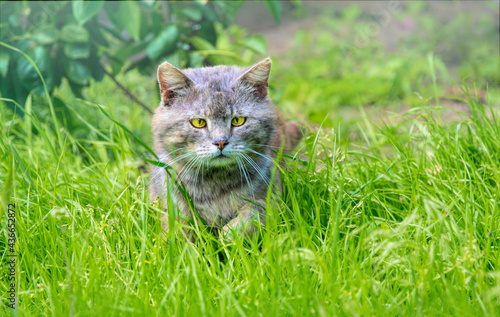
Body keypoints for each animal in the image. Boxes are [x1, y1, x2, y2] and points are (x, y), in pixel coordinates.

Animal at [149, 58, 300, 239]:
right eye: (198, 122)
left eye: (238, 120)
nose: (220, 142)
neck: (215, 183)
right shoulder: (170, 203)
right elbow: (178, 232)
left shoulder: (274, 200)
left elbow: (249, 216)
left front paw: (227, 239)